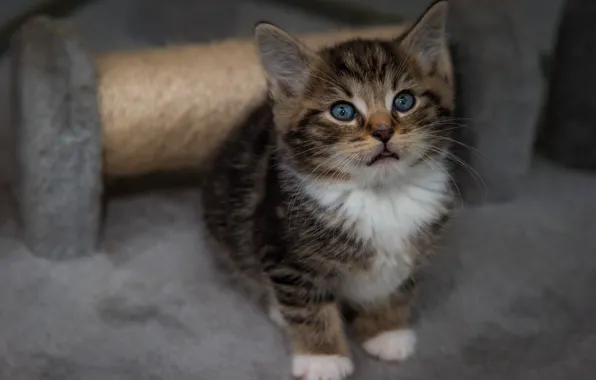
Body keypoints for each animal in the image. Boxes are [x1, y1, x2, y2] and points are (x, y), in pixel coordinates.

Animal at [203, 1, 454, 378]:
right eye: (342, 111)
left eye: (404, 101)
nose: (383, 131)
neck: (379, 193)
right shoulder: (285, 248)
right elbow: (308, 306)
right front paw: (323, 358)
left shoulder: (417, 247)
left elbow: (397, 287)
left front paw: (385, 331)